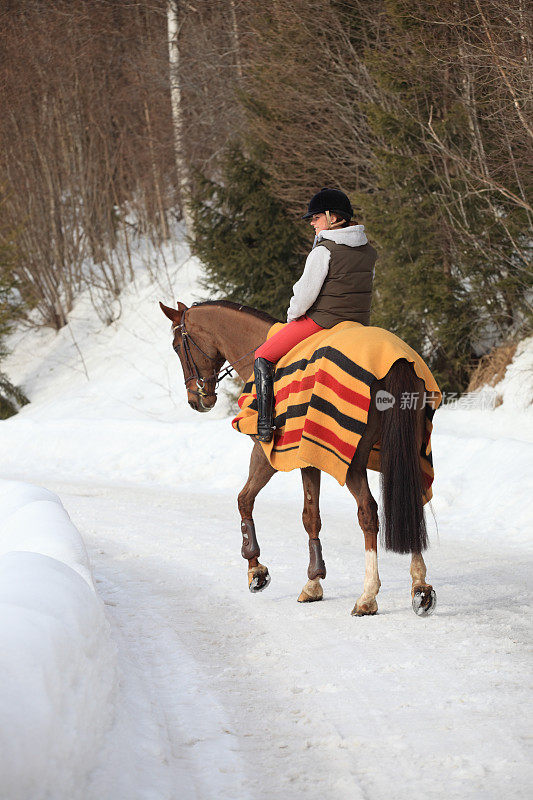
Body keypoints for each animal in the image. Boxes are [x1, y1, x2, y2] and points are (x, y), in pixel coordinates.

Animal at [160, 300, 434, 620]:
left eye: (177, 347)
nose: (197, 400)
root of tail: (395, 359)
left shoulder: (266, 454)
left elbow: (248, 501)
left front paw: (257, 570)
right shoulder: (310, 459)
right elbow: (310, 515)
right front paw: (313, 581)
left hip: (354, 461)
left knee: (368, 514)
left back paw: (368, 595)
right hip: (405, 451)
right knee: (409, 502)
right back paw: (420, 588)